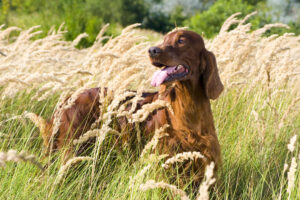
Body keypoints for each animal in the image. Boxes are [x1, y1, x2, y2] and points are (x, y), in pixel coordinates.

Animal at [39, 29, 223, 184]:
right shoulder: (163, 161)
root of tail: (67, 100)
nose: (152, 50)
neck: (189, 107)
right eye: (164, 39)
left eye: (181, 40)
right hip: (71, 147)